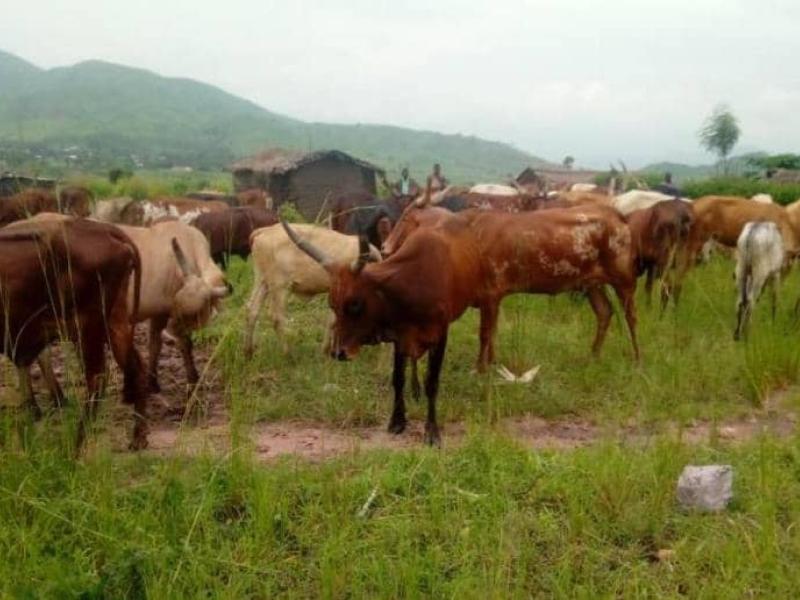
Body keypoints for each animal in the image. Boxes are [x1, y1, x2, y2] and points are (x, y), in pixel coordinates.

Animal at [0, 217, 148, 450]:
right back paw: (138, 438)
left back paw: (73, 447)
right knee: (135, 366)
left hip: (87, 330)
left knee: (96, 378)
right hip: (114, 324)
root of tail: (106, 229)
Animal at [243, 223, 381, 357]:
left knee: (252, 310)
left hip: (263, 282)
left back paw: (249, 352)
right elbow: (335, 320)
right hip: (280, 287)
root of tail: (265, 231)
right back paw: (288, 354)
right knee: (276, 317)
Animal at [281, 202, 640, 445]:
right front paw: (397, 420)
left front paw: (435, 427)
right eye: (332, 303)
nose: (338, 353)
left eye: (355, 304)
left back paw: (638, 360)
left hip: (624, 281)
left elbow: (451, 366)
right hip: (591, 284)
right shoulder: (402, 335)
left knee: (631, 318)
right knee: (605, 313)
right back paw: (593, 356)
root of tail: (619, 216)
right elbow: (399, 377)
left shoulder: (465, 316)